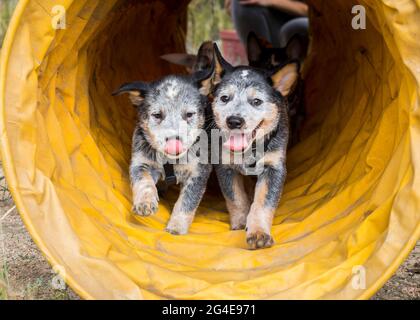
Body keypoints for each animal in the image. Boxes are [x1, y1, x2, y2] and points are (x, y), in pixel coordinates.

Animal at [113, 70, 212, 235]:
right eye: (157, 115)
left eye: (189, 114)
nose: (174, 143)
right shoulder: (141, 161)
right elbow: (143, 182)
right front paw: (145, 203)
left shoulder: (199, 172)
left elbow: (187, 201)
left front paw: (176, 228)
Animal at [204, 44, 298, 250]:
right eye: (224, 98)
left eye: (257, 102)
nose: (234, 121)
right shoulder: (224, 166)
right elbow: (236, 198)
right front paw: (240, 224)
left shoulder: (274, 167)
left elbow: (262, 203)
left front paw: (258, 233)